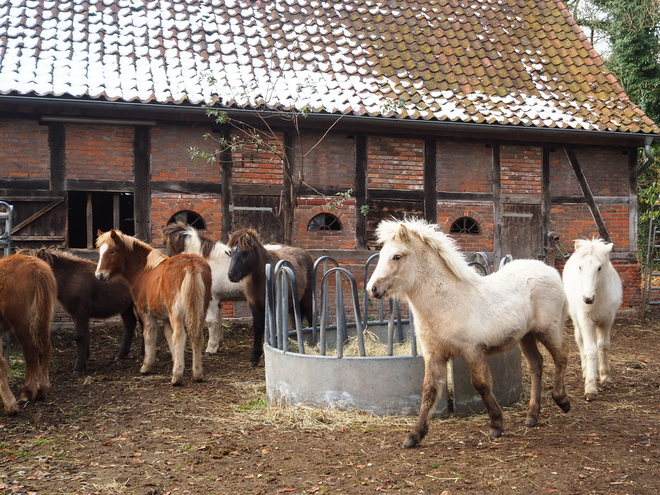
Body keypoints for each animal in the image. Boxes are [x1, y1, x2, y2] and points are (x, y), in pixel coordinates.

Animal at [0, 254, 55, 416]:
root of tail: (36, 268)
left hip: (22, 323)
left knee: (31, 352)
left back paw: (28, 393)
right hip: (44, 317)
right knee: (45, 348)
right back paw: (42, 389)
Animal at [95, 231, 211, 386]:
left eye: (112, 251)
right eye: (99, 251)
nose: (99, 275)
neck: (144, 271)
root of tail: (191, 264)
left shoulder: (146, 314)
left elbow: (149, 336)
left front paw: (146, 366)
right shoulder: (166, 319)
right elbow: (169, 338)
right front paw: (178, 363)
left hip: (177, 313)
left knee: (180, 336)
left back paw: (176, 378)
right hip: (200, 311)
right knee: (197, 335)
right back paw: (197, 374)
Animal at [227, 231, 314, 366]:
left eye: (245, 252)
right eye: (230, 252)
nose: (231, 275)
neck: (262, 278)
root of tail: (305, 253)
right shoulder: (255, 305)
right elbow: (258, 327)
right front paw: (255, 357)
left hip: (307, 299)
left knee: (310, 316)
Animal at [366, 220, 572, 450]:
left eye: (397, 256)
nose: (372, 289)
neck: (448, 303)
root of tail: (550, 270)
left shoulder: (473, 351)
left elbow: (481, 385)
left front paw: (496, 425)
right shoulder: (434, 355)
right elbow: (429, 391)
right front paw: (414, 436)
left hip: (548, 330)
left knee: (561, 356)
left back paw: (562, 401)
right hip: (525, 336)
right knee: (537, 364)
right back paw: (532, 417)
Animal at [564, 237, 624, 404]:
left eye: (599, 268)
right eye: (580, 267)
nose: (587, 299)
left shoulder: (607, 321)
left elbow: (603, 346)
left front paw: (605, 378)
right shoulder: (586, 321)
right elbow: (590, 350)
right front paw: (590, 388)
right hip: (577, 321)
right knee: (580, 342)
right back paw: (586, 371)